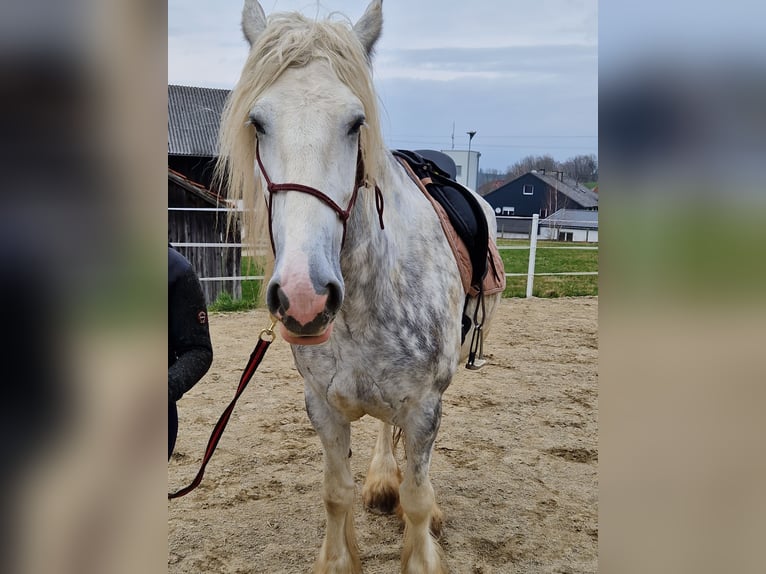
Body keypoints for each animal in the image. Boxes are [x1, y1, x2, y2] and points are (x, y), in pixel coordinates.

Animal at [216, 2, 504, 572]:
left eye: (356, 123)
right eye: (258, 123)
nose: (304, 298)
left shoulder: (424, 405)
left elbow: (416, 497)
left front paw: (422, 544)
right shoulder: (323, 406)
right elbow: (336, 493)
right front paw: (341, 552)